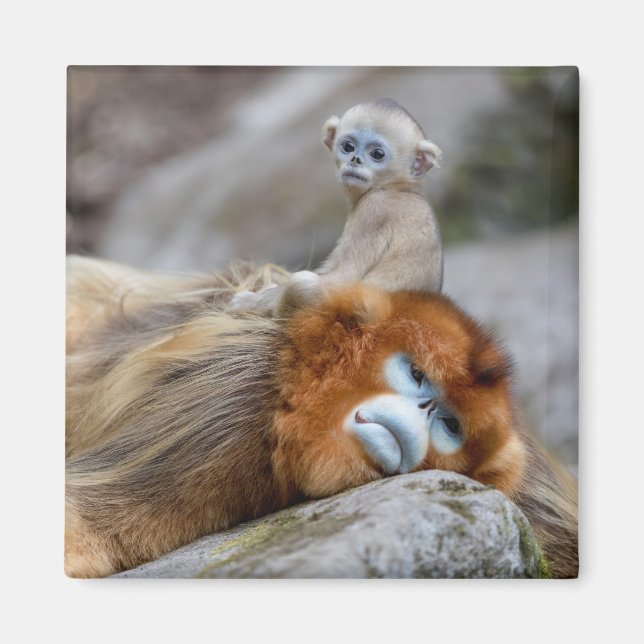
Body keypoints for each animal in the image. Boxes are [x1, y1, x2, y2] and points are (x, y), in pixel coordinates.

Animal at [228, 98, 444, 316]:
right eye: (348, 146)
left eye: (377, 154)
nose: (355, 160)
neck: (398, 187)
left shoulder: (373, 209)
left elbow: (341, 280)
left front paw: (251, 302)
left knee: (303, 283)